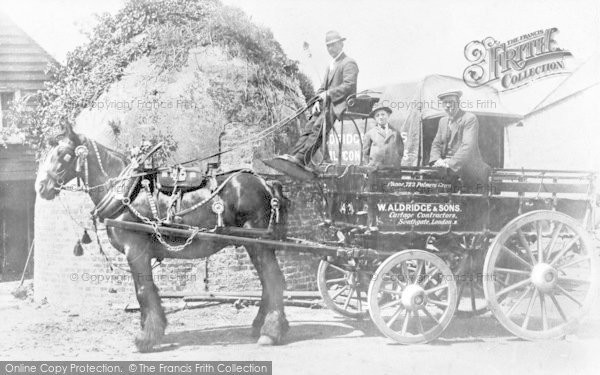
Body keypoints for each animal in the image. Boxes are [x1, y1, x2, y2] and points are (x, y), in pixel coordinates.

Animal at [35, 126, 290, 352]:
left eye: (64, 154)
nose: (41, 187)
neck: (126, 191)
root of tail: (266, 183)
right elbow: (148, 292)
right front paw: (153, 329)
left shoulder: (135, 249)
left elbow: (143, 290)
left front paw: (146, 338)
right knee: (268, 283)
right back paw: (262, 325)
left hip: (257, 242)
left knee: (273, 280)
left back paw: (271, 331)